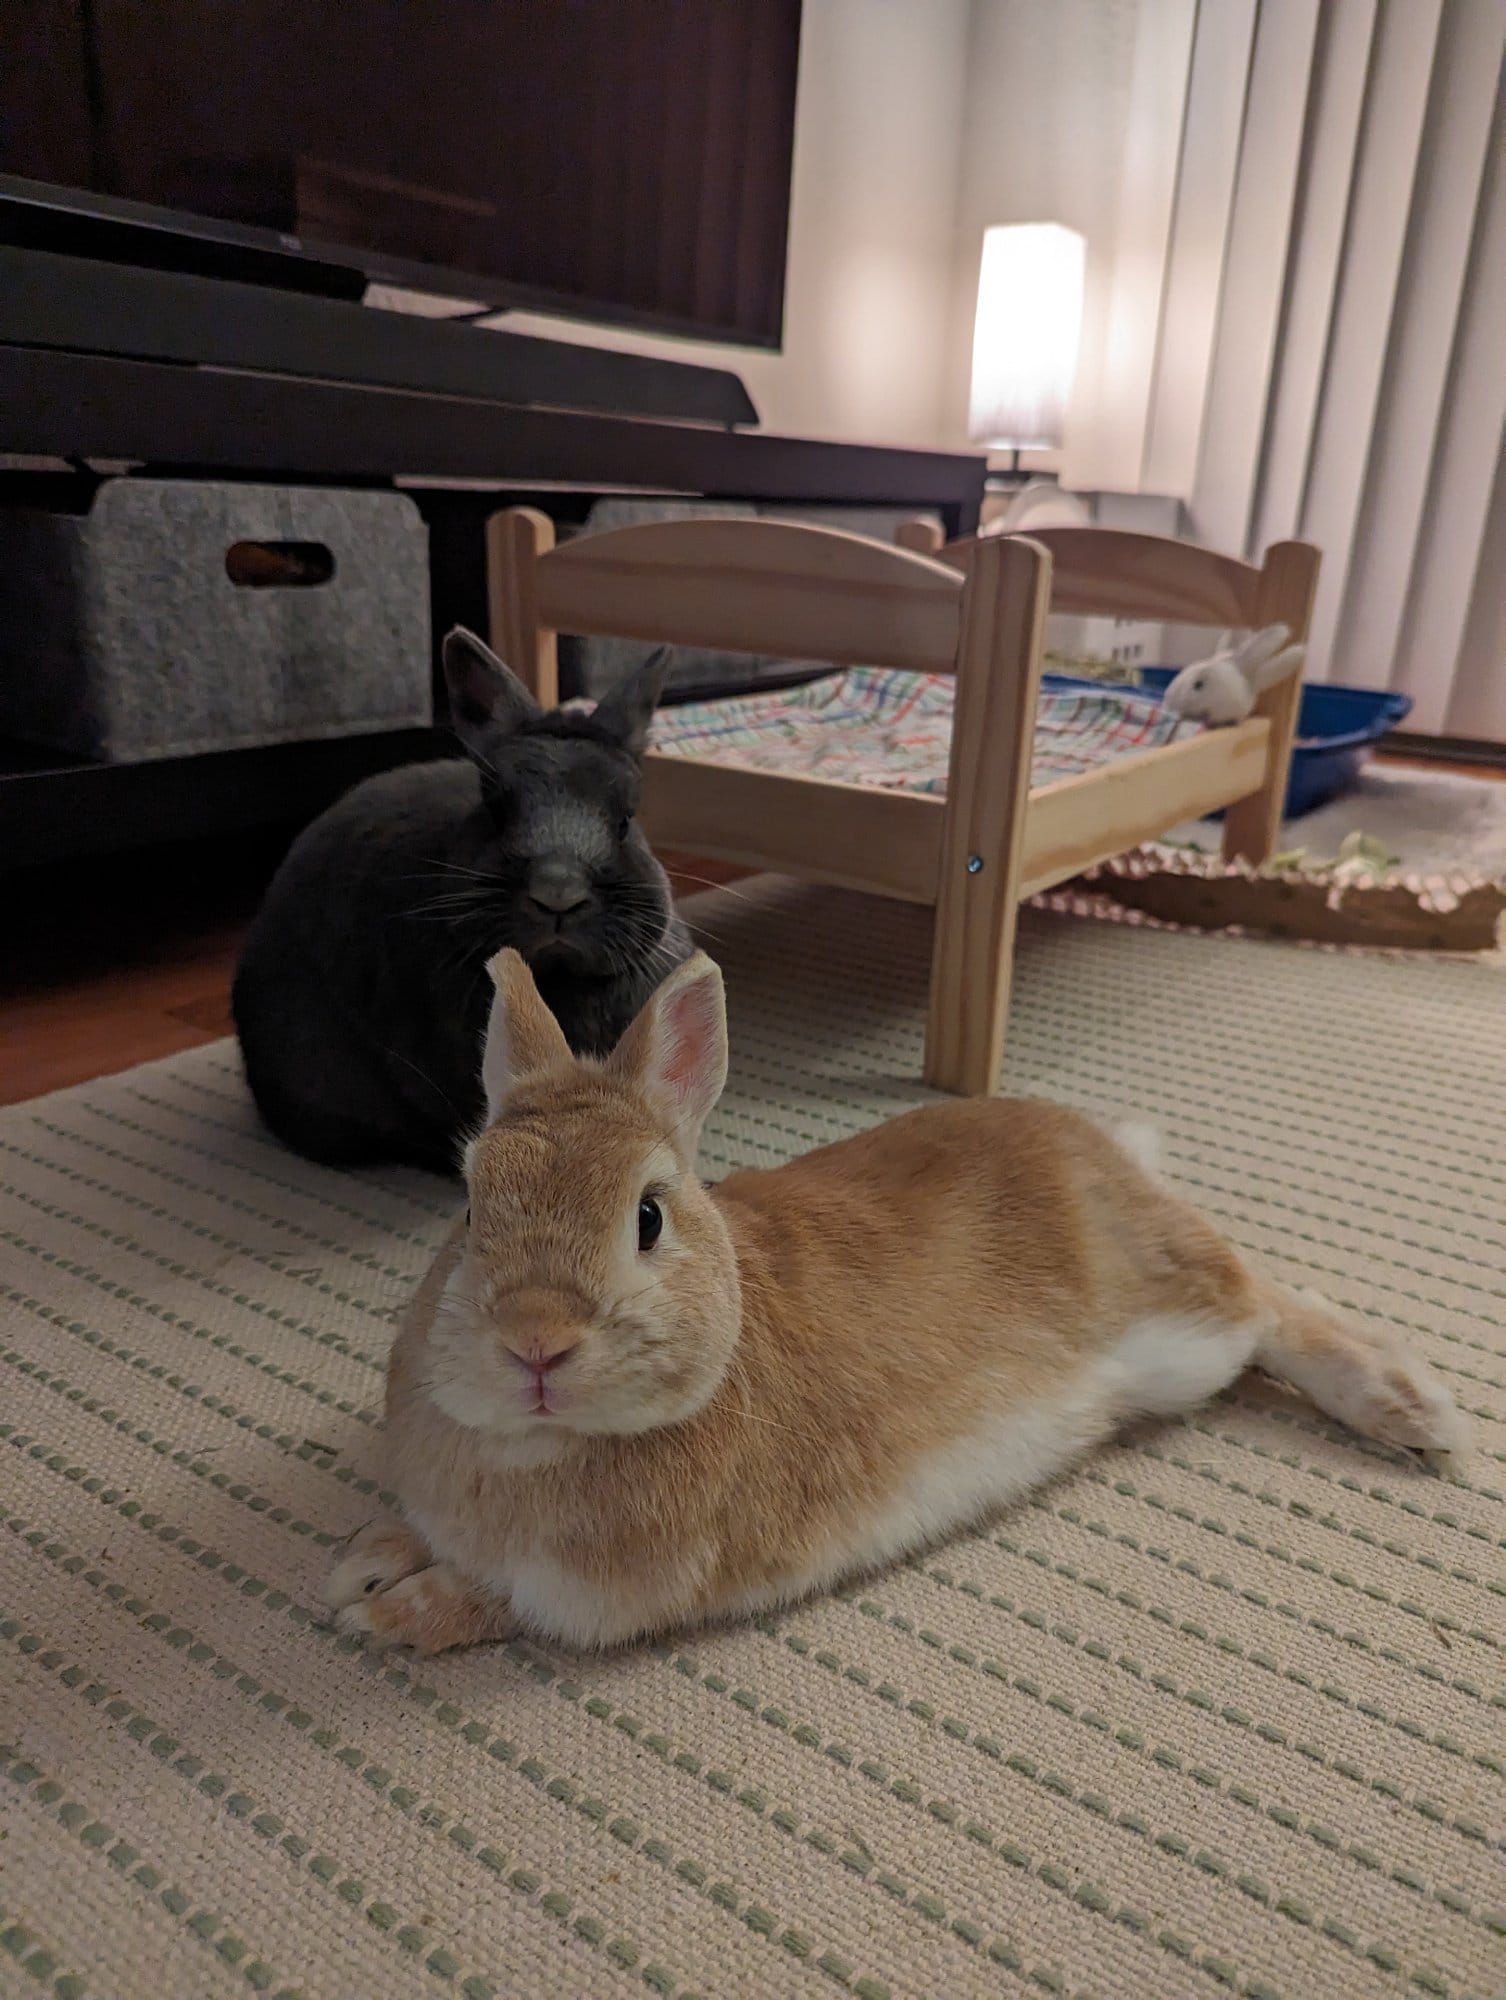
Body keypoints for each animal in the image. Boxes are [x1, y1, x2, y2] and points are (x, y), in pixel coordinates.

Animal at [324, 952, 1464, 1656]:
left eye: (646, 1216)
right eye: (471, 1204)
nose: (536, 1343)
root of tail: (1101, 1146)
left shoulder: (592, 1598)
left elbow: (490, 1600)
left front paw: (387, 1605)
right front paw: (364, 1557)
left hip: (1182, 1324)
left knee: (1266, 1299)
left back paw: (1412, 1408)